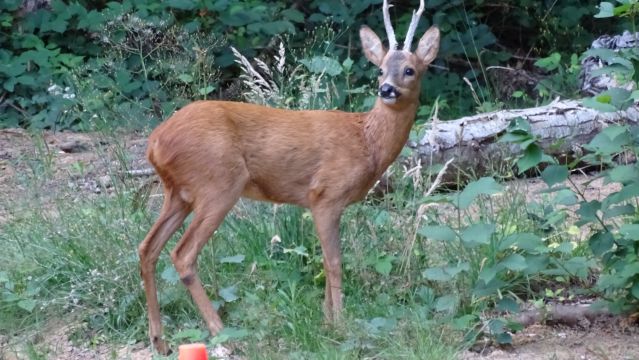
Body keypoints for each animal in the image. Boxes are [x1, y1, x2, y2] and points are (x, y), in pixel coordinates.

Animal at [140, 0, 440, 354]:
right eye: (380, 69)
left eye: (409, 70)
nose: (387, 89)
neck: (366, 141)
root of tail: (155, 142)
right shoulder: (326, 195)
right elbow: (334, 261)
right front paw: (341, 325)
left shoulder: (319, 203)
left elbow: (324, 260)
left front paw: (326, 320)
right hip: (217, 184)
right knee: (182, 255)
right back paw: (221, 331)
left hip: (178, 193)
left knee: (147, 248)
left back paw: (159, 340)